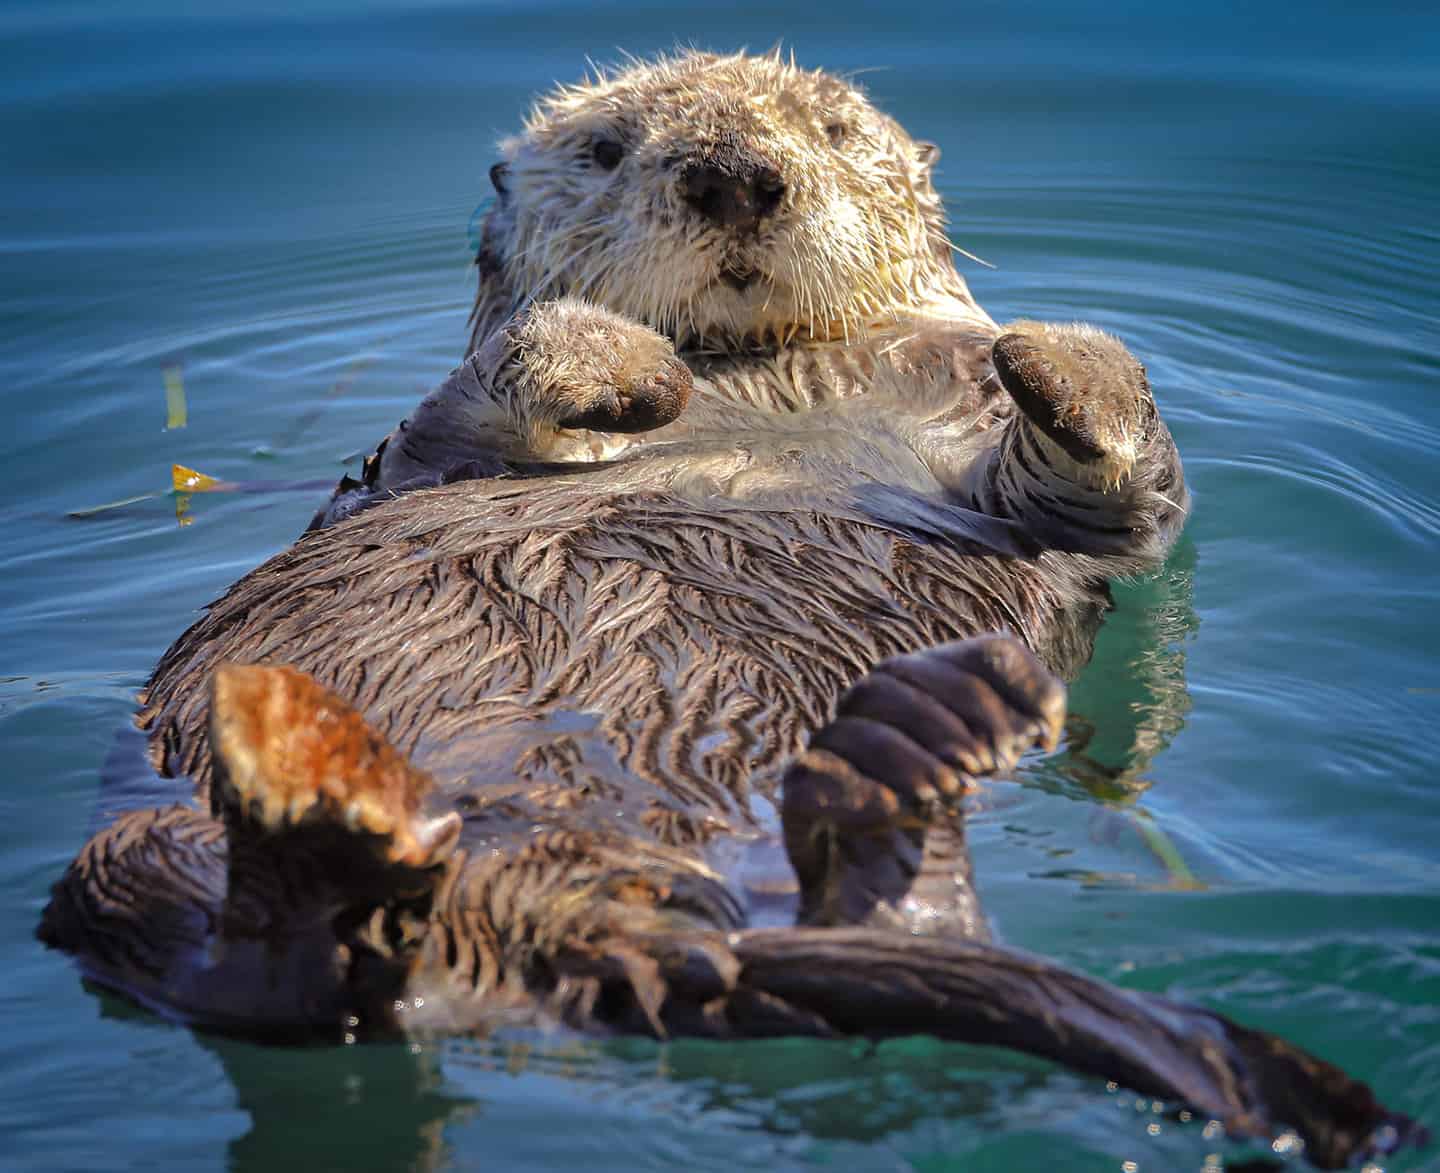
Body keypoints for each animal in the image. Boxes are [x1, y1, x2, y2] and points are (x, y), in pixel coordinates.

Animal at [39, 50, 1422, 1168]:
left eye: (831, 128)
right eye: (606, 148)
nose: (736, 178)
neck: (773, 385)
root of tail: (561, 923)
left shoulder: (1040, 482)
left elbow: (1130, 495)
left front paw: (1054, 355)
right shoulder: (425, 446)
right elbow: (500, 382)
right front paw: (626, 367)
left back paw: (904, 754)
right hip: (149, 856)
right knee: (257, 975)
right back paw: (328, 811)